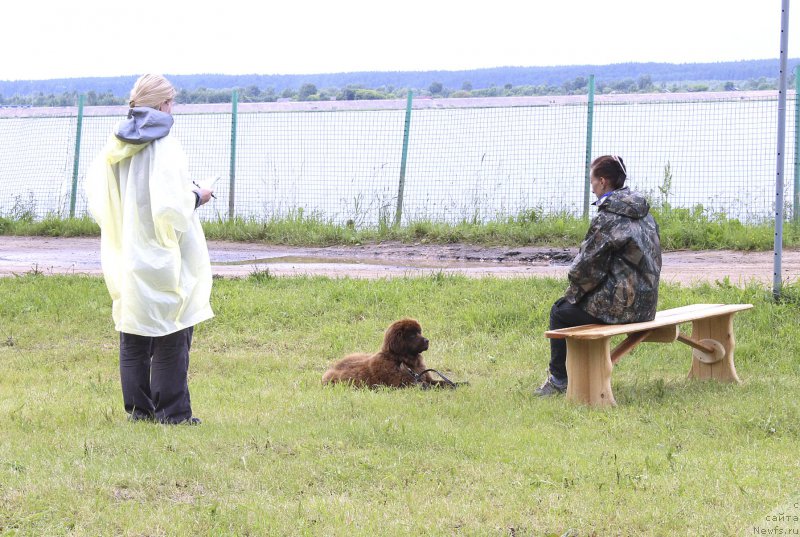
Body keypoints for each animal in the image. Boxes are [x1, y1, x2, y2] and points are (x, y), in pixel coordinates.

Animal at [322, 318, 460, 390]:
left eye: (419, 332)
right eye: (412, 335)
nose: (427, 341)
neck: (401, 360)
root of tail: (328, 372)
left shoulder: (426, 377)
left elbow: (443, 382)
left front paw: (459, 384)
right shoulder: (404, 384)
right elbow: (427, 385)